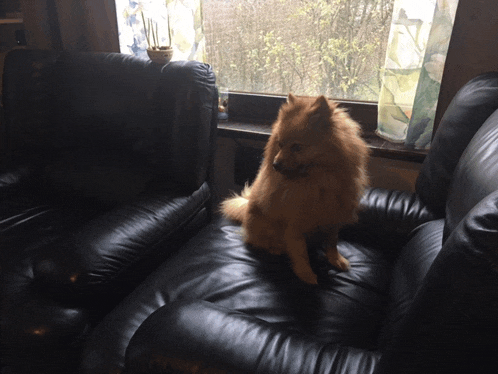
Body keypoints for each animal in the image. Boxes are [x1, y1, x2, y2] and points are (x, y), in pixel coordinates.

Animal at [222, 93, 370, 284]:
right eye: (280, 144)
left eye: (297, 147)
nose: (275, 164)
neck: (316, 182)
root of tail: (246, 206)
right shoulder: (295, 224)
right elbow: (300, 252)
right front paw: (305, 274)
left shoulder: (332, 217)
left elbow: (332, 242)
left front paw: (336, 260)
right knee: (259, 241)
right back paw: (275, 248)